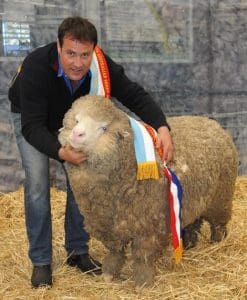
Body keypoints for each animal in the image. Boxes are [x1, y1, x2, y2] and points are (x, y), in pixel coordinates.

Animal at [58, 95, 238, 288]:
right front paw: (108, 273)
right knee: (193, 222)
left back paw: (216, 244)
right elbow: (115, 251)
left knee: (218, 224)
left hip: (221, 198)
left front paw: (143, 282)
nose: (76, 134)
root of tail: (212, 123)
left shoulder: (149, 226)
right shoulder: (107, 223)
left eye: (104, 128)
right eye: (77, 120)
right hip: (194, 197)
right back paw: (189, 244)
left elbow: (142, 256)